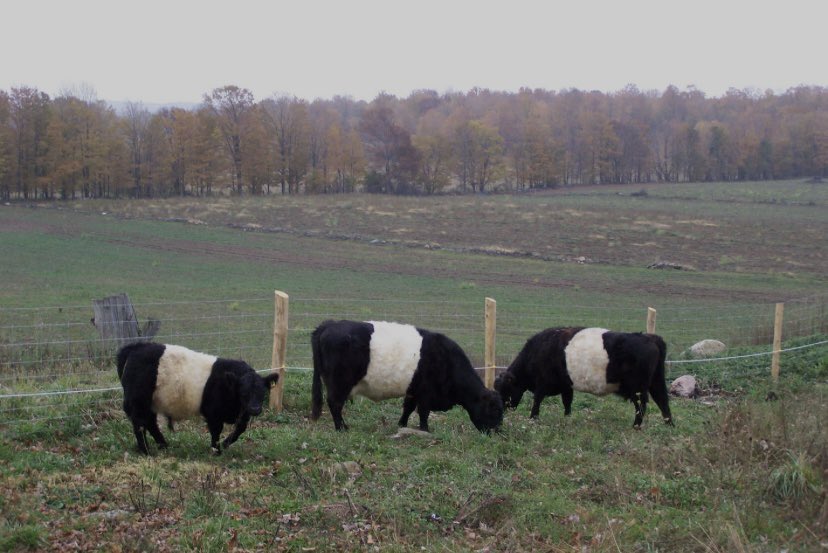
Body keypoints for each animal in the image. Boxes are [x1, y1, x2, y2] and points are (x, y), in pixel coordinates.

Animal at [116, 342, 279, 455]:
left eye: (262, 392)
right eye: (243, 392)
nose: (255, 409)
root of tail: (136, 347)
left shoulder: (243, 414)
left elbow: (240, 429)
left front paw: (225, 444)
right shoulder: (213, 412)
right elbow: (216, 431)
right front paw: (216, 450)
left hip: (151, 402)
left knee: (150, 422)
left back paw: (164, 445)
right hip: (138, 401)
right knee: (140, 424)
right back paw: (146, 450)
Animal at [310, 320, 503, 433]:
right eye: (494, 409)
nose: (498, 432)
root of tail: (328, 324)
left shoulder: (413, 390)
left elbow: (408, 408)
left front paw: (402, 425)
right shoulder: (426, 393)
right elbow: (423, 412)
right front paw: (425, 430)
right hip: (339, 382)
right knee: (335, 403)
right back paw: (341, 428)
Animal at [494, 327, 673, 428]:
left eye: (504, 390)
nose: (502, 411)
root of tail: (650, 337)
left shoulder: (542, 384)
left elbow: (536, 401)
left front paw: (532, 419)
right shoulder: (566, 386)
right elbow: (567, 403)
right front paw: (567, 419)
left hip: (637, 388)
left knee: (641, 406)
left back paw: (636, 427)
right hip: (656, 382)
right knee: (663, 400)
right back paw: (669, 425)